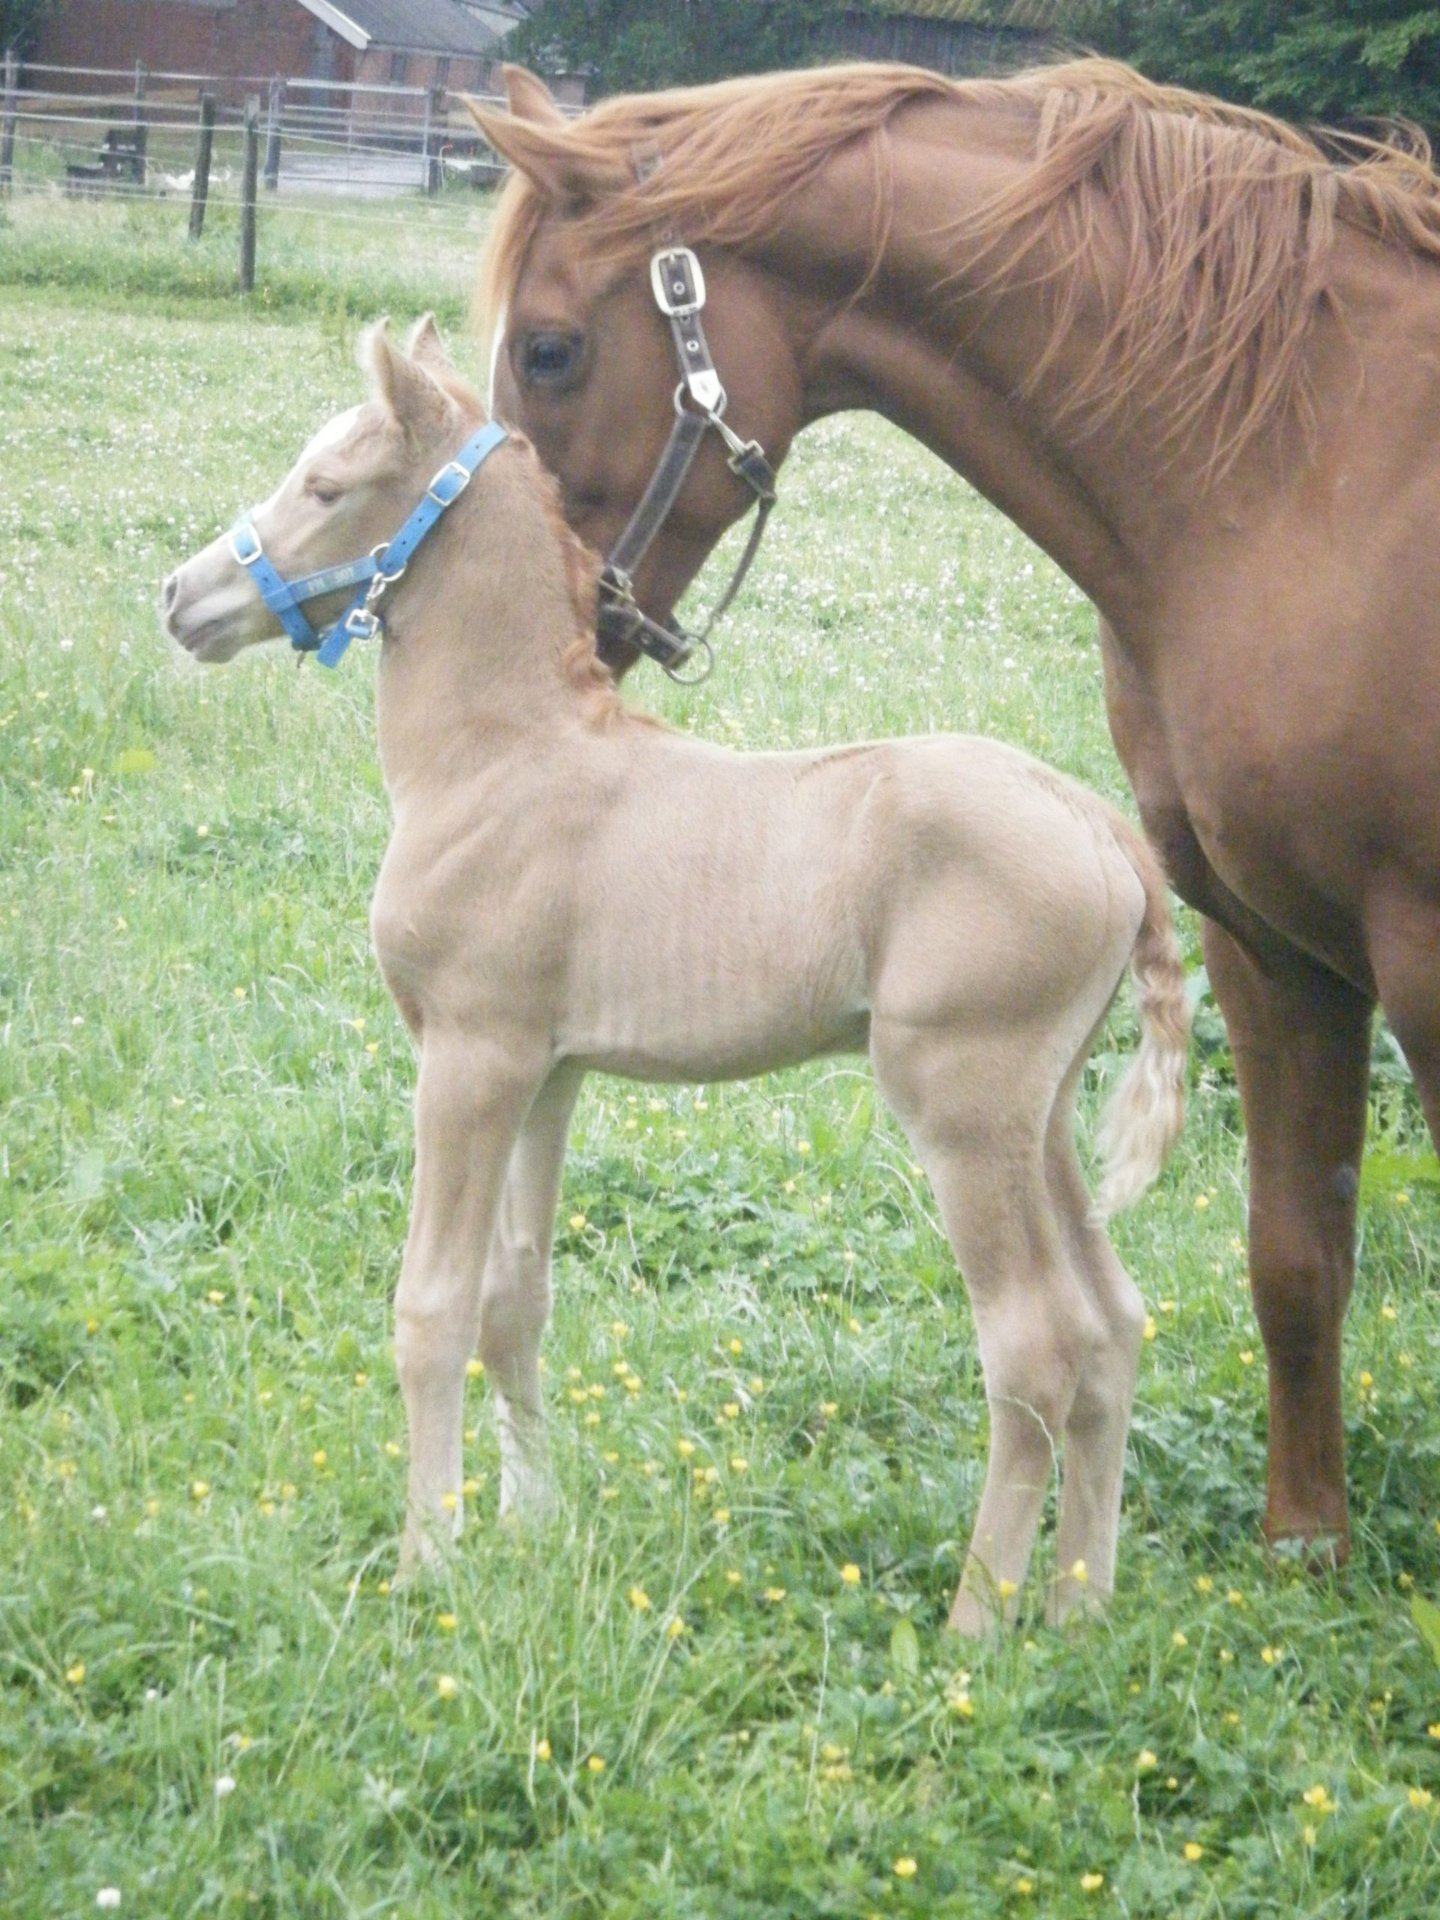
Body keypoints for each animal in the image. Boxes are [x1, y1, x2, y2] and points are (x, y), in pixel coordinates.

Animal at [160, 319, 1189, 1630]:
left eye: (329, 488)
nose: (182, 596)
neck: (502, 755)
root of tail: (1104, 830)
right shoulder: (546, 1070)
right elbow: (514, 1304)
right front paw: (530, 1525)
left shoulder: (468, 1057)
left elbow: (431, 1308)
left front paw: (428, 1561)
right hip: (1041, 1114)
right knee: (1112, 1328)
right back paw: (1079, 1611)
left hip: (963, 1105)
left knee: (1037, 1347)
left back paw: (975, 1626)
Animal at [469, 58, 1440, 1567]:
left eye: (553, 350)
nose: (536, 619)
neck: (1303, 476)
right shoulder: (1266, 947)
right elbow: (1294, 1259)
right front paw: (1307, 1551)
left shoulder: (1424, 962)